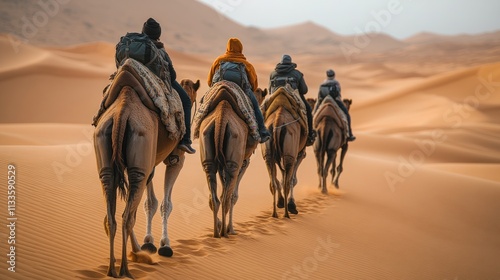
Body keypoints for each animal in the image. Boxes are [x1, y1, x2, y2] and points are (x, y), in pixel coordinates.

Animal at [93, 68, 198, 278]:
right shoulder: (176, 158)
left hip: (108, 158)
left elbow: (149, 202)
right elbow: (165, 202)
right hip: (140, 156)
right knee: (127, 217)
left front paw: (149, 243)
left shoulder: (151, 162)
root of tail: (122, 112)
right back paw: (126, 268)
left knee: (113, 215)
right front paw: (164, 245)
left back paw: (116, 266)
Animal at [199, 86, 268, 238]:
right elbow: (234, 195)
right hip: (234, 162)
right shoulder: (244, 161)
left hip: (209, 152)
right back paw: (225, 232)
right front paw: (231, 228)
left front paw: (222, 225)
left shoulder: (222, 165)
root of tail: (222, 117)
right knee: (226, 198)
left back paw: (216, 232)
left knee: (215, 197)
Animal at [262, 87, 308, 219]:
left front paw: (281, 201)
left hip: (268, 155)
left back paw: (274, 213)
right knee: (287, 182)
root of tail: (277, 120)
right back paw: (287, 214)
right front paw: (291, 204)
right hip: (290, 156)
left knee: (273, 183)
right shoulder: (300, 154)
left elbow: (280, 179)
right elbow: (292, 180)